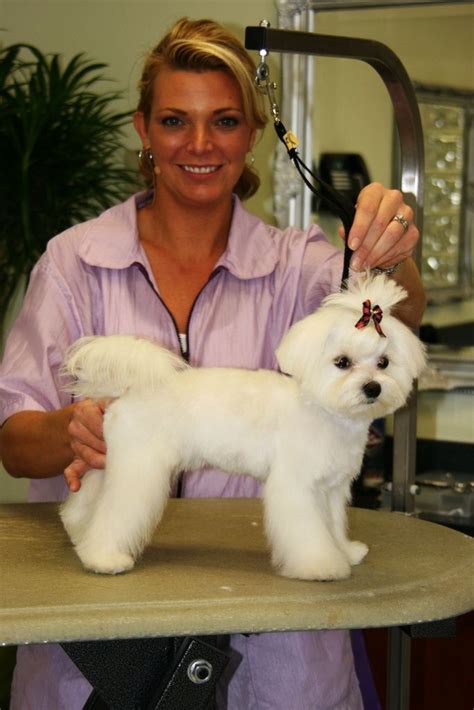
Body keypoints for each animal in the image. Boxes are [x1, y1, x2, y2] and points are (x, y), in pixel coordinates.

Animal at [58, 276, 426, 580]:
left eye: (384, 363)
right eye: (342, 362)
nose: (372, 388)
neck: (324, 411)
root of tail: (129, 389)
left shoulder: (330, 490)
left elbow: (333, 526)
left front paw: (345, 551)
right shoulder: (297, 486)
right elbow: (309, 533)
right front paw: (321, 565)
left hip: (113, 462)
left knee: (91, 499)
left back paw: (78, 530)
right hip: (139, 469)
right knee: (115, 514)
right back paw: (103, 557)